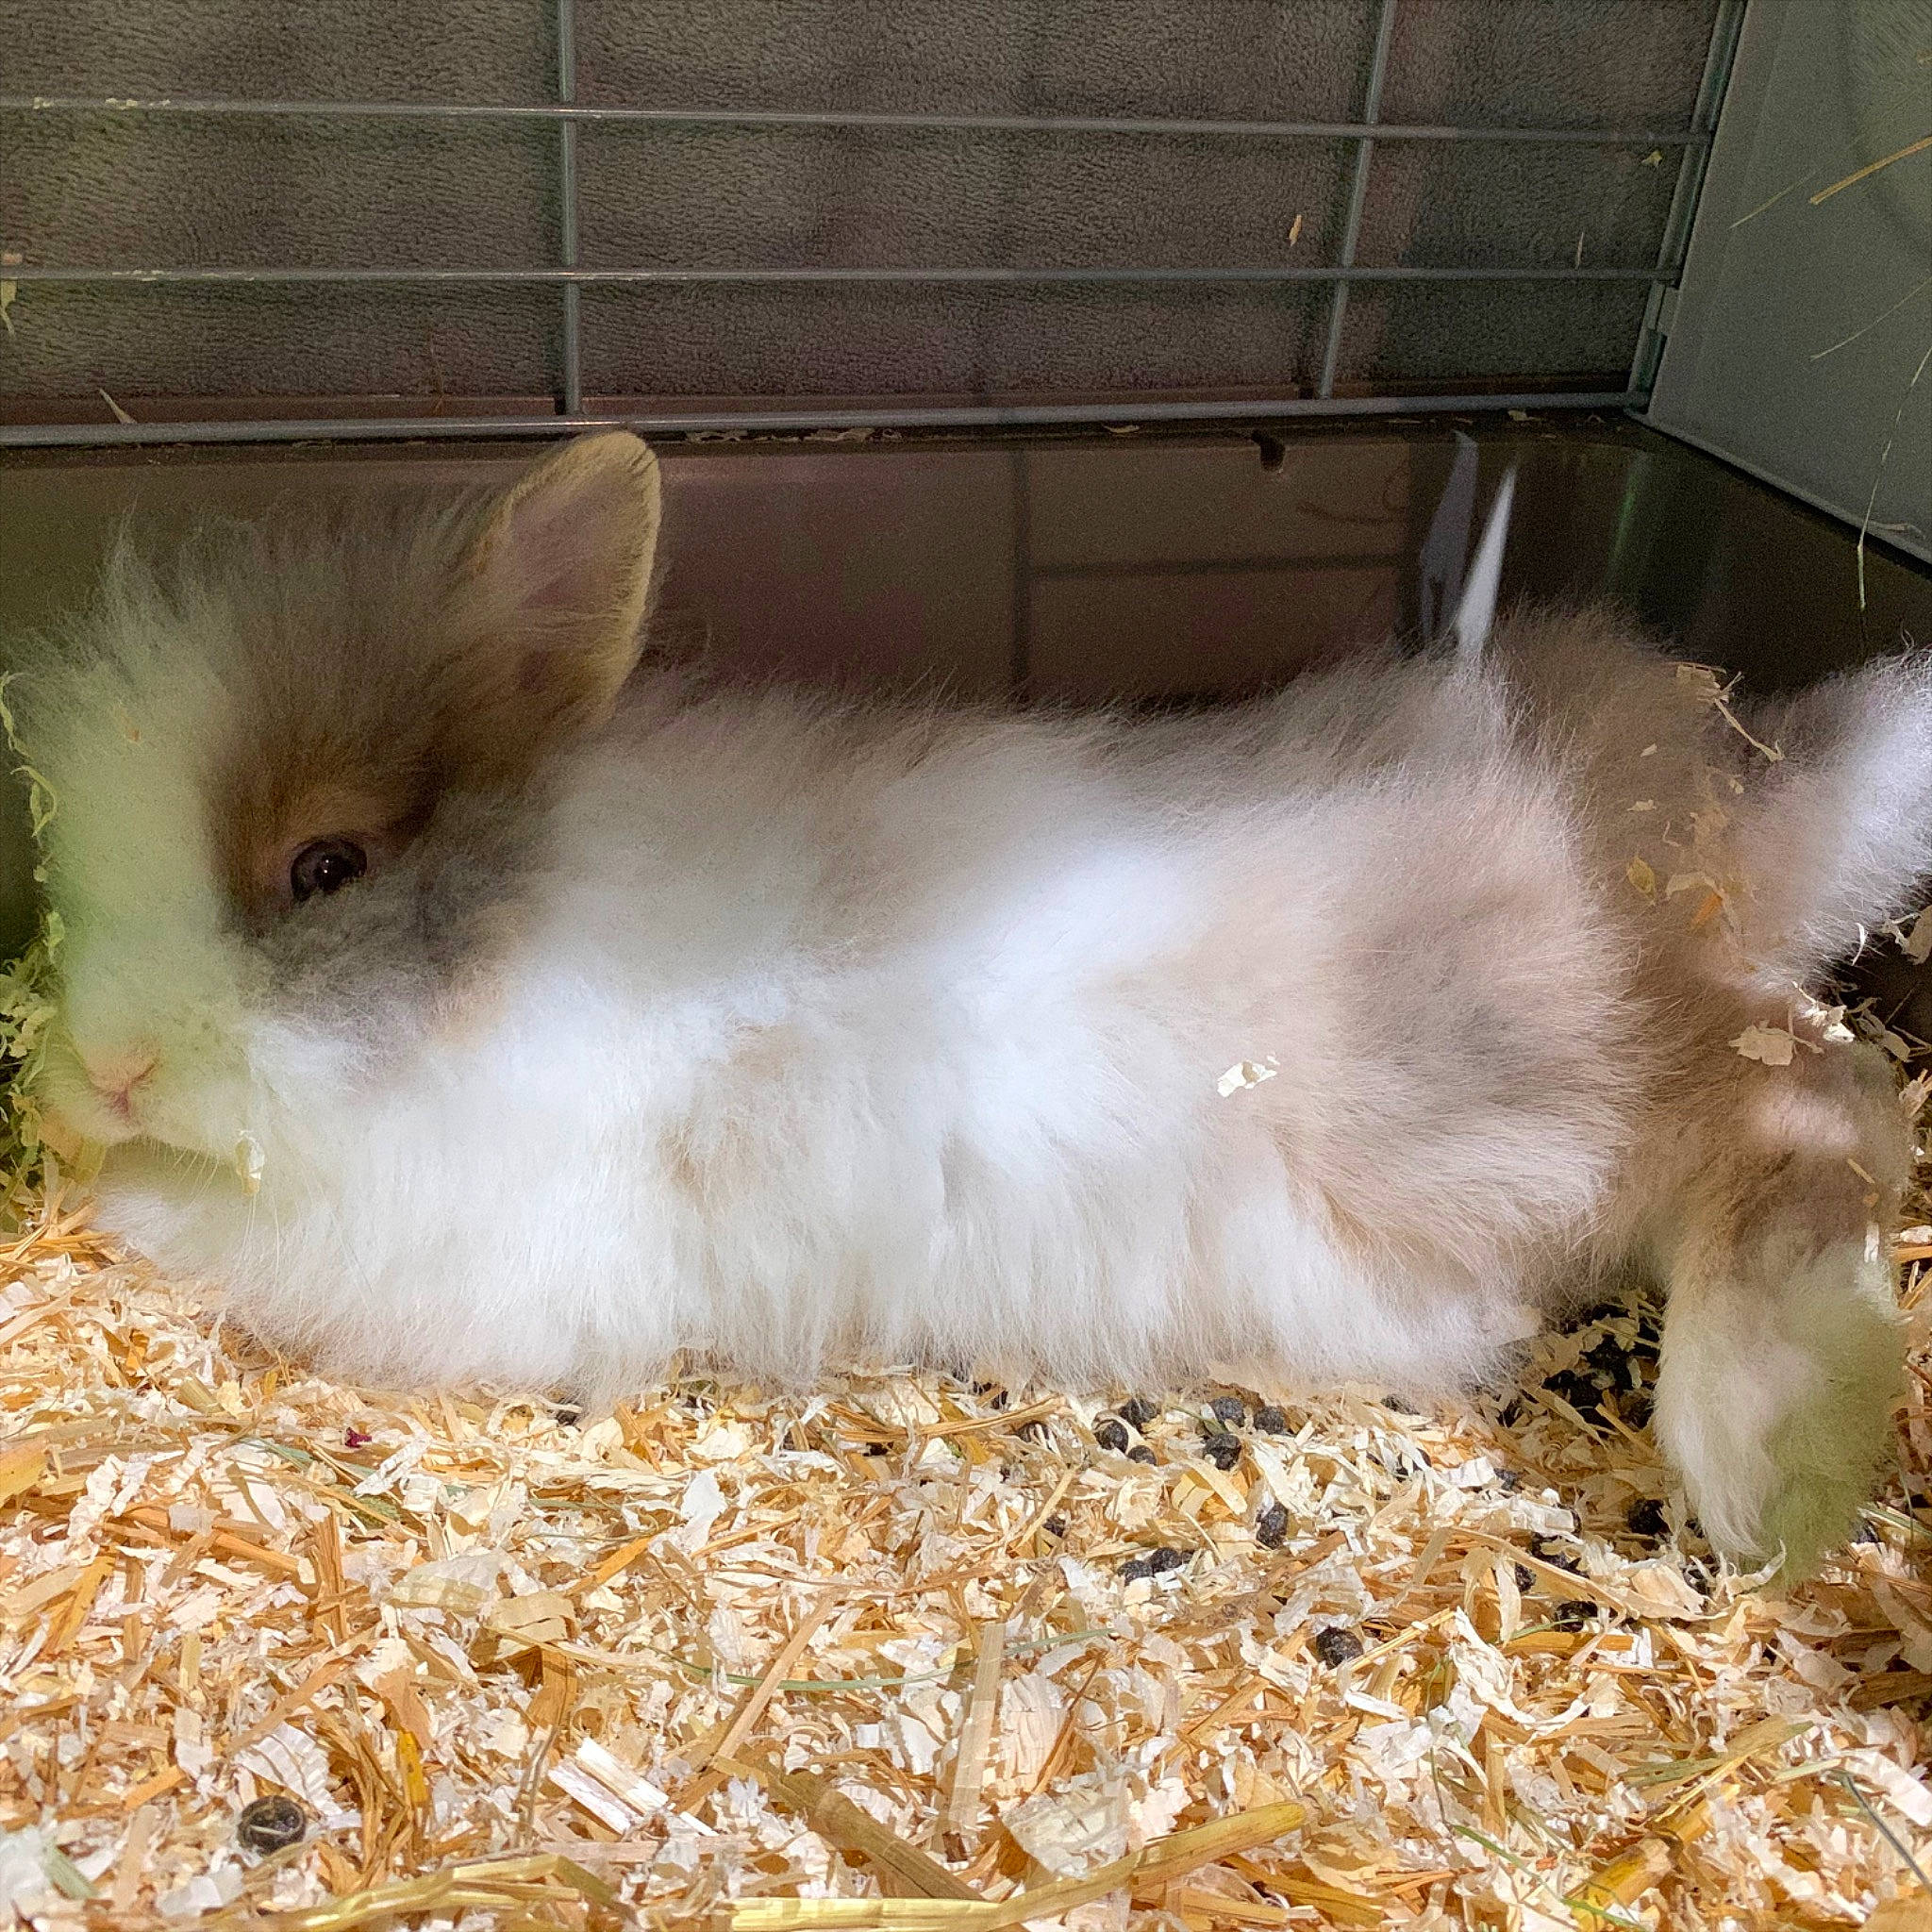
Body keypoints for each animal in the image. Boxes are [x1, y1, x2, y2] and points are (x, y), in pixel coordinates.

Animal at [12, 429, 1932, 1579]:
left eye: (325, 867)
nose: (104, 1069)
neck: (527, 952)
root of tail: (1700, 822)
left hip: (1556, 1079)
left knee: (1814, 1107)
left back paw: (1772, 1464)